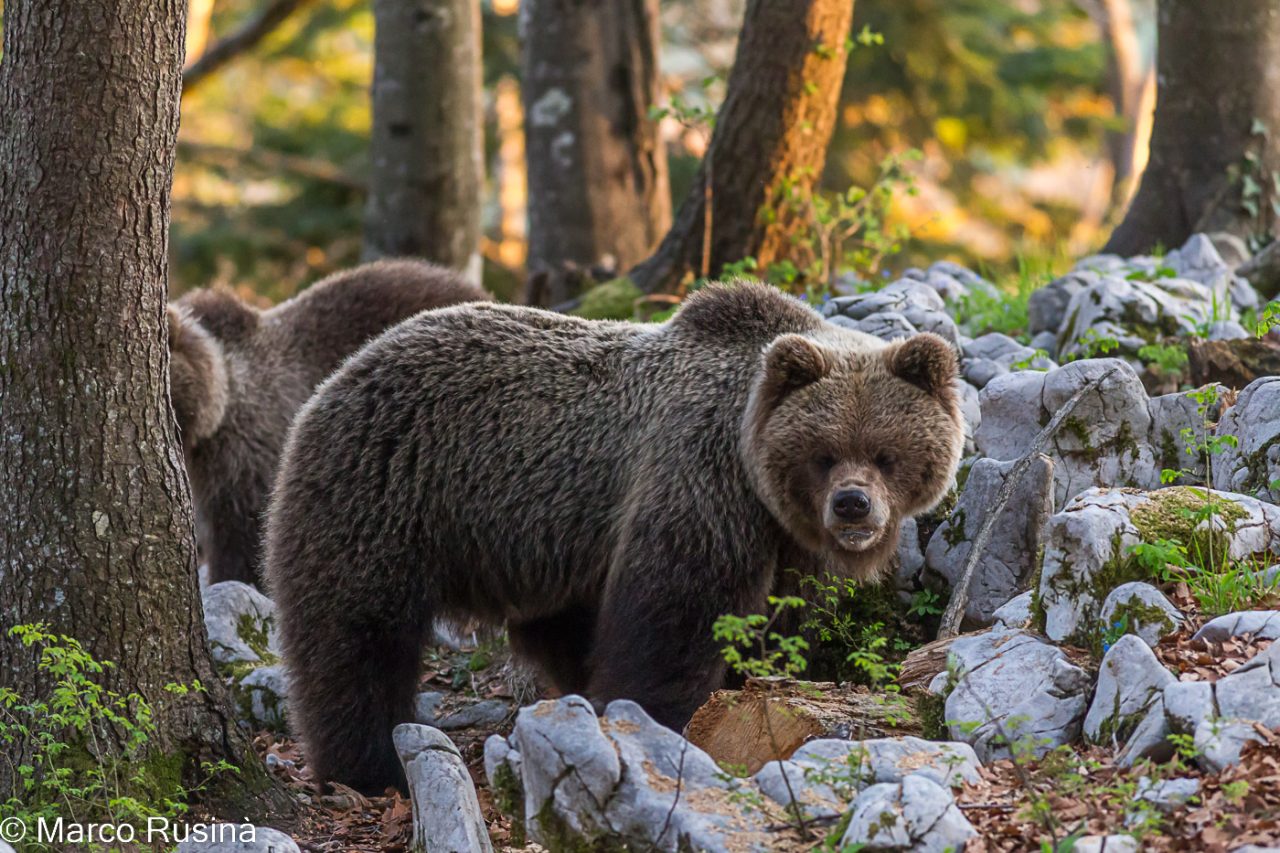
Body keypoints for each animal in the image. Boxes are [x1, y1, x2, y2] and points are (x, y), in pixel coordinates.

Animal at [264, 280, 962, 788]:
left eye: (886, 454)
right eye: (824, 453)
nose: (852, 507)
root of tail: (340, 374)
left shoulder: (787, 541)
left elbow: (780, 622)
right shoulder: (697, 480)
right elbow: (673, 616)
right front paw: (657, 717)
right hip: (384, 492)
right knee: (356, 637)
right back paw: (367, 764)